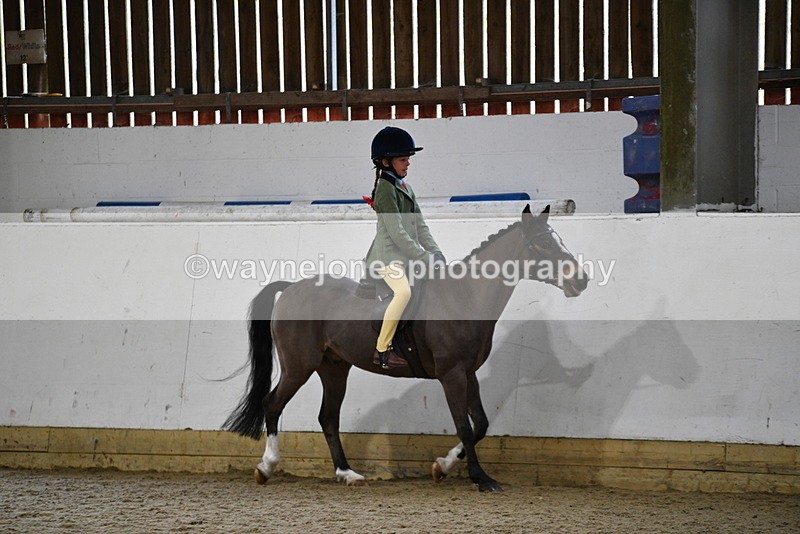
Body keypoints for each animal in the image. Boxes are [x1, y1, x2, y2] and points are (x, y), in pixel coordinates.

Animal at [223, 205, 588, 492]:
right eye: (544, 243)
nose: (580, 279)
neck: (465, 298)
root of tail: (292, 288)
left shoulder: (468, 373)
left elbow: (481, 424)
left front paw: (442, 466)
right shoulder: (452, 375)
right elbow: (464, 425)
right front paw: (480, 478)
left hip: (334, 367)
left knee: (328, 417)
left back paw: (347, 473)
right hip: (299, 366)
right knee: (272, 404)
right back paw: (266, 467)